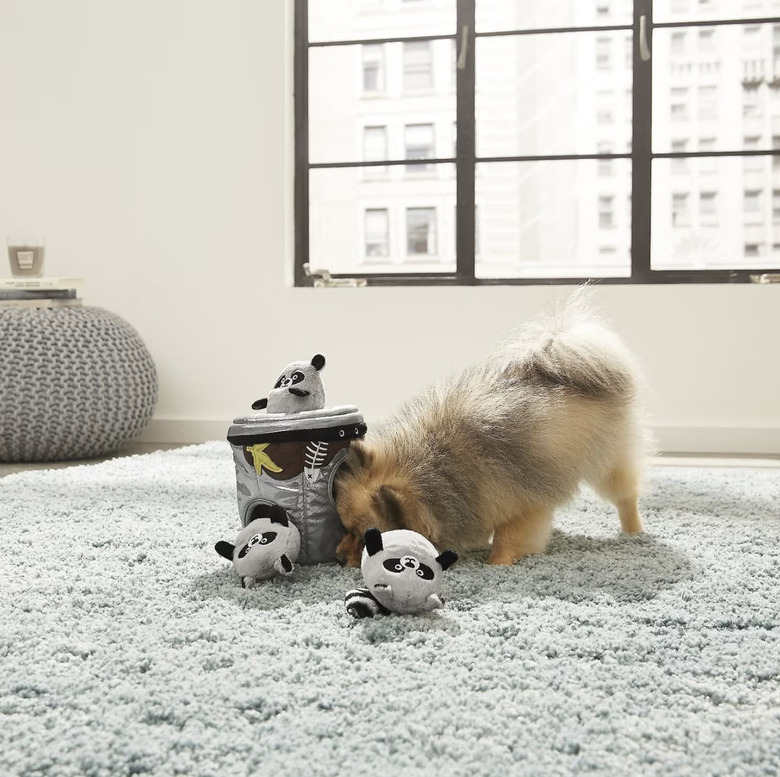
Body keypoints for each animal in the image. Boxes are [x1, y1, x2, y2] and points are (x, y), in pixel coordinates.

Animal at [336, 290, 652, 564]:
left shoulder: (524, 507)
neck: (437, 466)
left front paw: (497, 563)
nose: (338, 557)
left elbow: (508, 538)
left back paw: (633, 531)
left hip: (609, 461)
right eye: (345, 529)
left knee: (626, 497)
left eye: (365, 540)